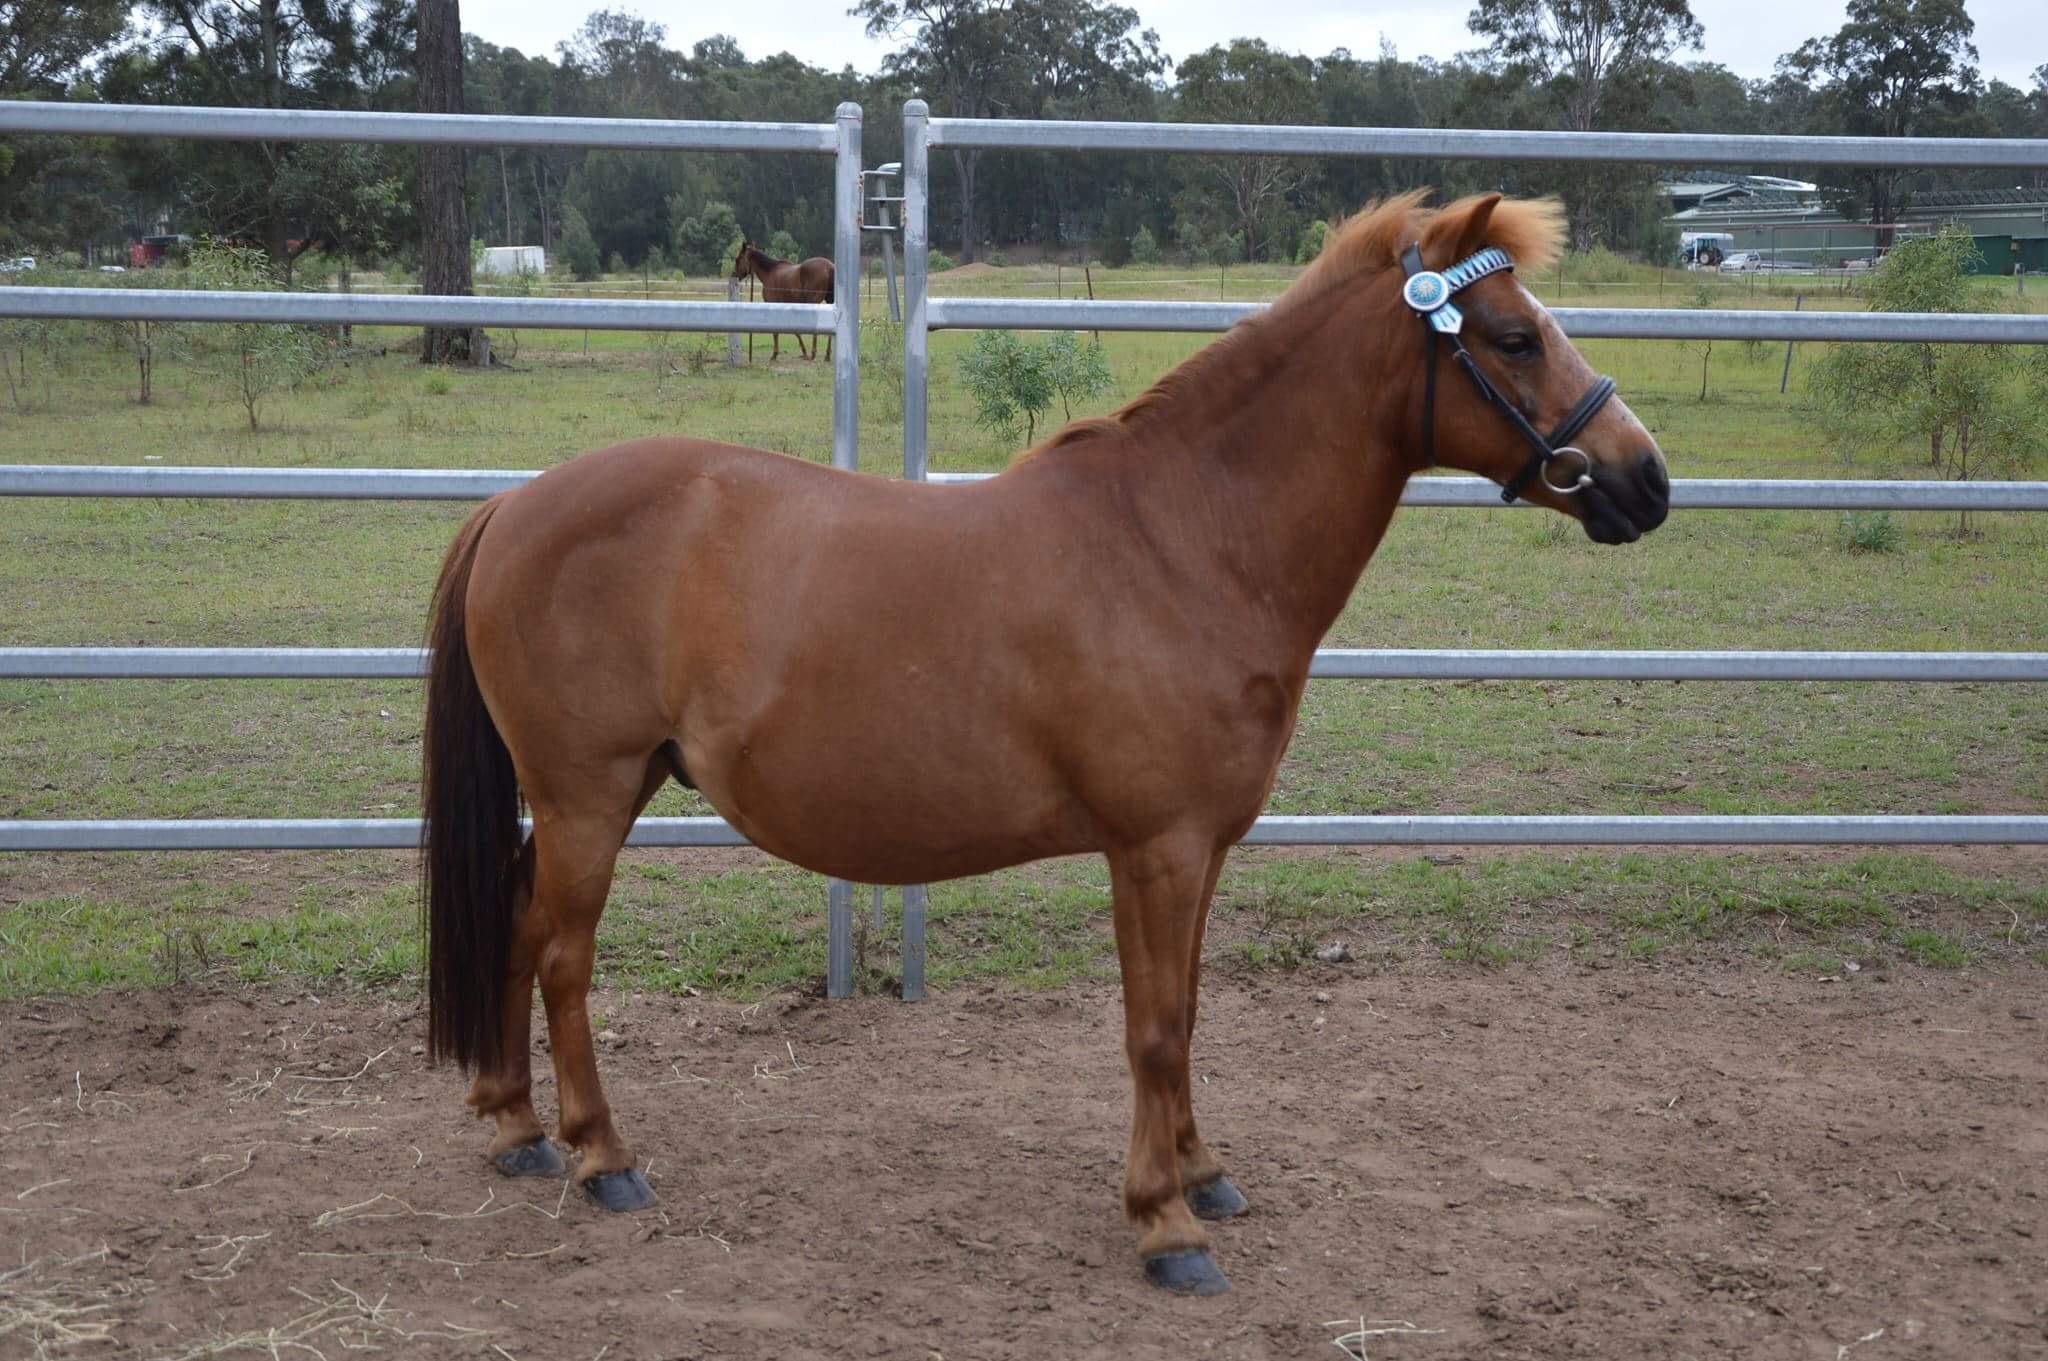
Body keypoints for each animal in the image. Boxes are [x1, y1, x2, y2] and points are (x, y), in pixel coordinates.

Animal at [422, 192, 1670, 1297]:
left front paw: (1201, 1172)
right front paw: (1164, 1222)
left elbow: (1189, 1010)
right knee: (562, 955)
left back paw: (518, 1126)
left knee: (519, 927)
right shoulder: (1154, 849)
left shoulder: (1202, 848)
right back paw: (600, 1155)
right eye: (1513, 337)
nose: (1645, 480)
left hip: (595, 794)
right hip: (586, 794)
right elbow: (1153, 1028)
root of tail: (514, 504)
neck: (1183, 543)